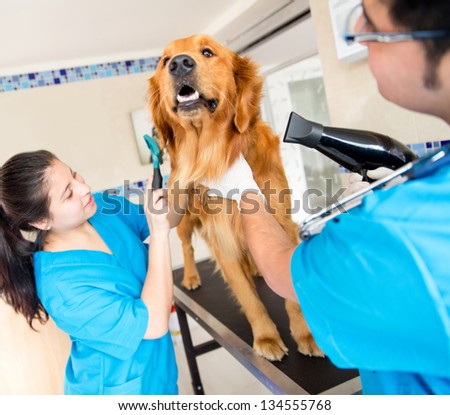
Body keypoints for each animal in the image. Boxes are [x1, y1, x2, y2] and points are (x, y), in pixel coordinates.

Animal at [149, 34, 322, 360]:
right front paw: (266, 337)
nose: (179, 63)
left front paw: (305, 334)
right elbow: (248, 298)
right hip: (185, 218)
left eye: (207, 52)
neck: (215, 153)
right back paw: (191, 277)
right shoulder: (221, 239)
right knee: (187, 247)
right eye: (164, 61)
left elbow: (288, 289)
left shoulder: (281, 221)